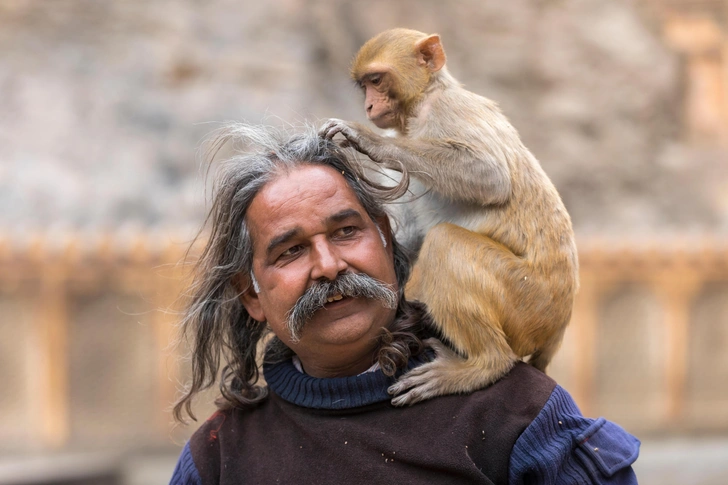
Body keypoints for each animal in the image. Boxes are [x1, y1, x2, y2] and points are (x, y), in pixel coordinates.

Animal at [320, 27, 580, 404]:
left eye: (377, 80)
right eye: (365, 85)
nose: (369, 105)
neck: (420, 105)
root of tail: (556, 329)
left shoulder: (449, 110)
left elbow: (489, 175)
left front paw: (368, 141)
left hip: (527, 302)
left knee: (446, 242)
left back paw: (484, 365)